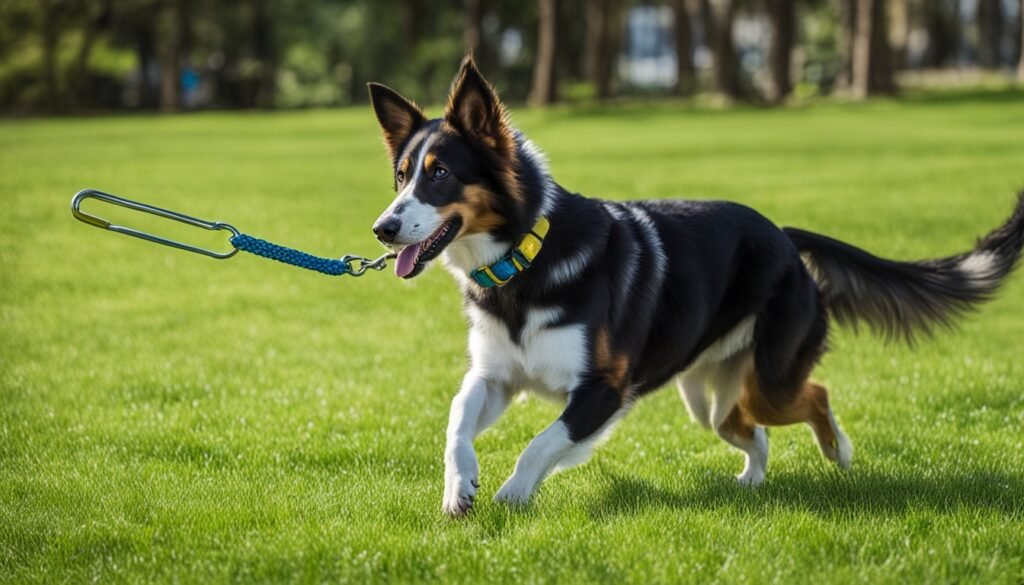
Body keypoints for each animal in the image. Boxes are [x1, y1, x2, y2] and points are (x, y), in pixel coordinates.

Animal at [366, 57, 1024, 516]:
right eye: (400, 176)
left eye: (440, 174)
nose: (382, 229)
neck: (524, 261)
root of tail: (782, 235)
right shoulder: (497, 377)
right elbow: (456, 419)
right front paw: (460, 488)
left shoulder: (602, 390)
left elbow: (541, 444)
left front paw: (510, 497)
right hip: (709, 400)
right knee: (752, 431)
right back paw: (753, 482)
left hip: (771, 378)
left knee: (815, 395)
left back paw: (838, 452)